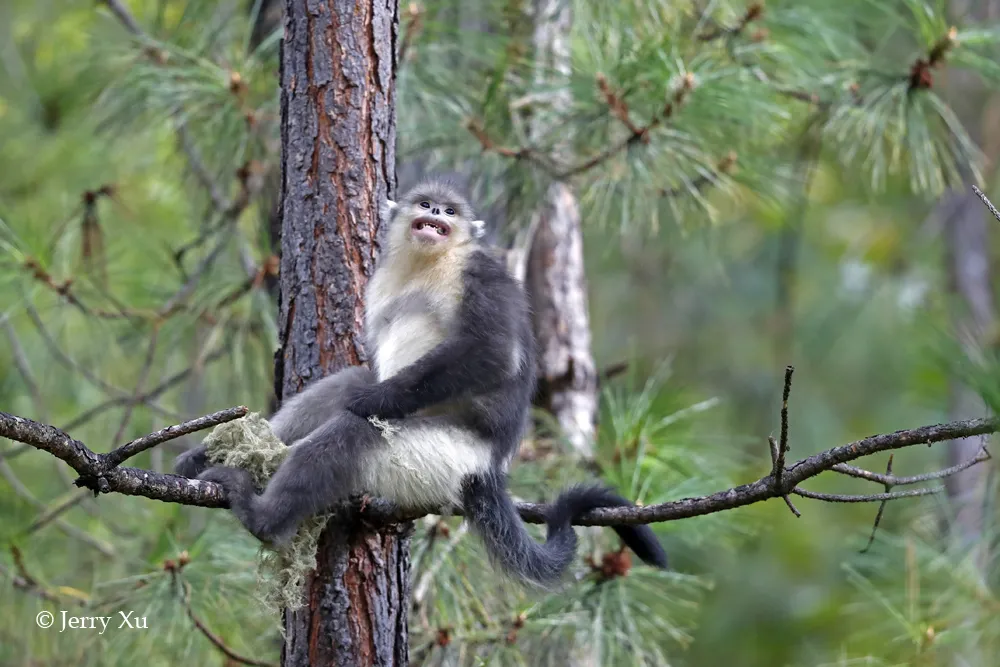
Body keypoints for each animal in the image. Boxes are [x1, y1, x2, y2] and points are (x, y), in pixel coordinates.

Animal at [176, 177, 668, 584]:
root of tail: (490, 467)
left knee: (353, 432)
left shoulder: (478, 272)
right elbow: (368, 366)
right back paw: (214, 459)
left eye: (449, 212)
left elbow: (494, 353)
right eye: (425, 205)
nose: (435, 217)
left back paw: (261, 516)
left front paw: (373, 398)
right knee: (344, 384)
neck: (427, 265)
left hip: (443, 455)